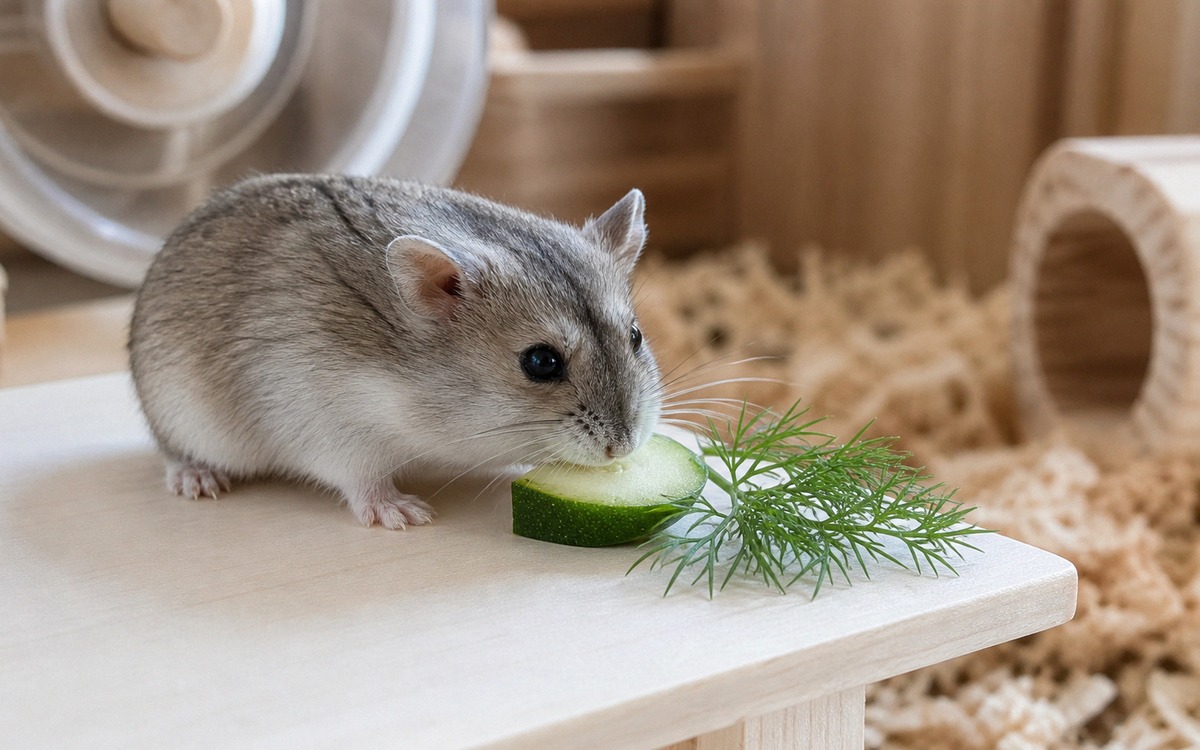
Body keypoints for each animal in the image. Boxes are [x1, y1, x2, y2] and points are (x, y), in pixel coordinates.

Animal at [128, 174, 662, 529]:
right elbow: (362, 480)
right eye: (540, 361)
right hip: (178, 417)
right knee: (173, 454)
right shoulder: (331, 429)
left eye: (636, 335)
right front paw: (406, 514)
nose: (625, 448)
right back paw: (198, 481)